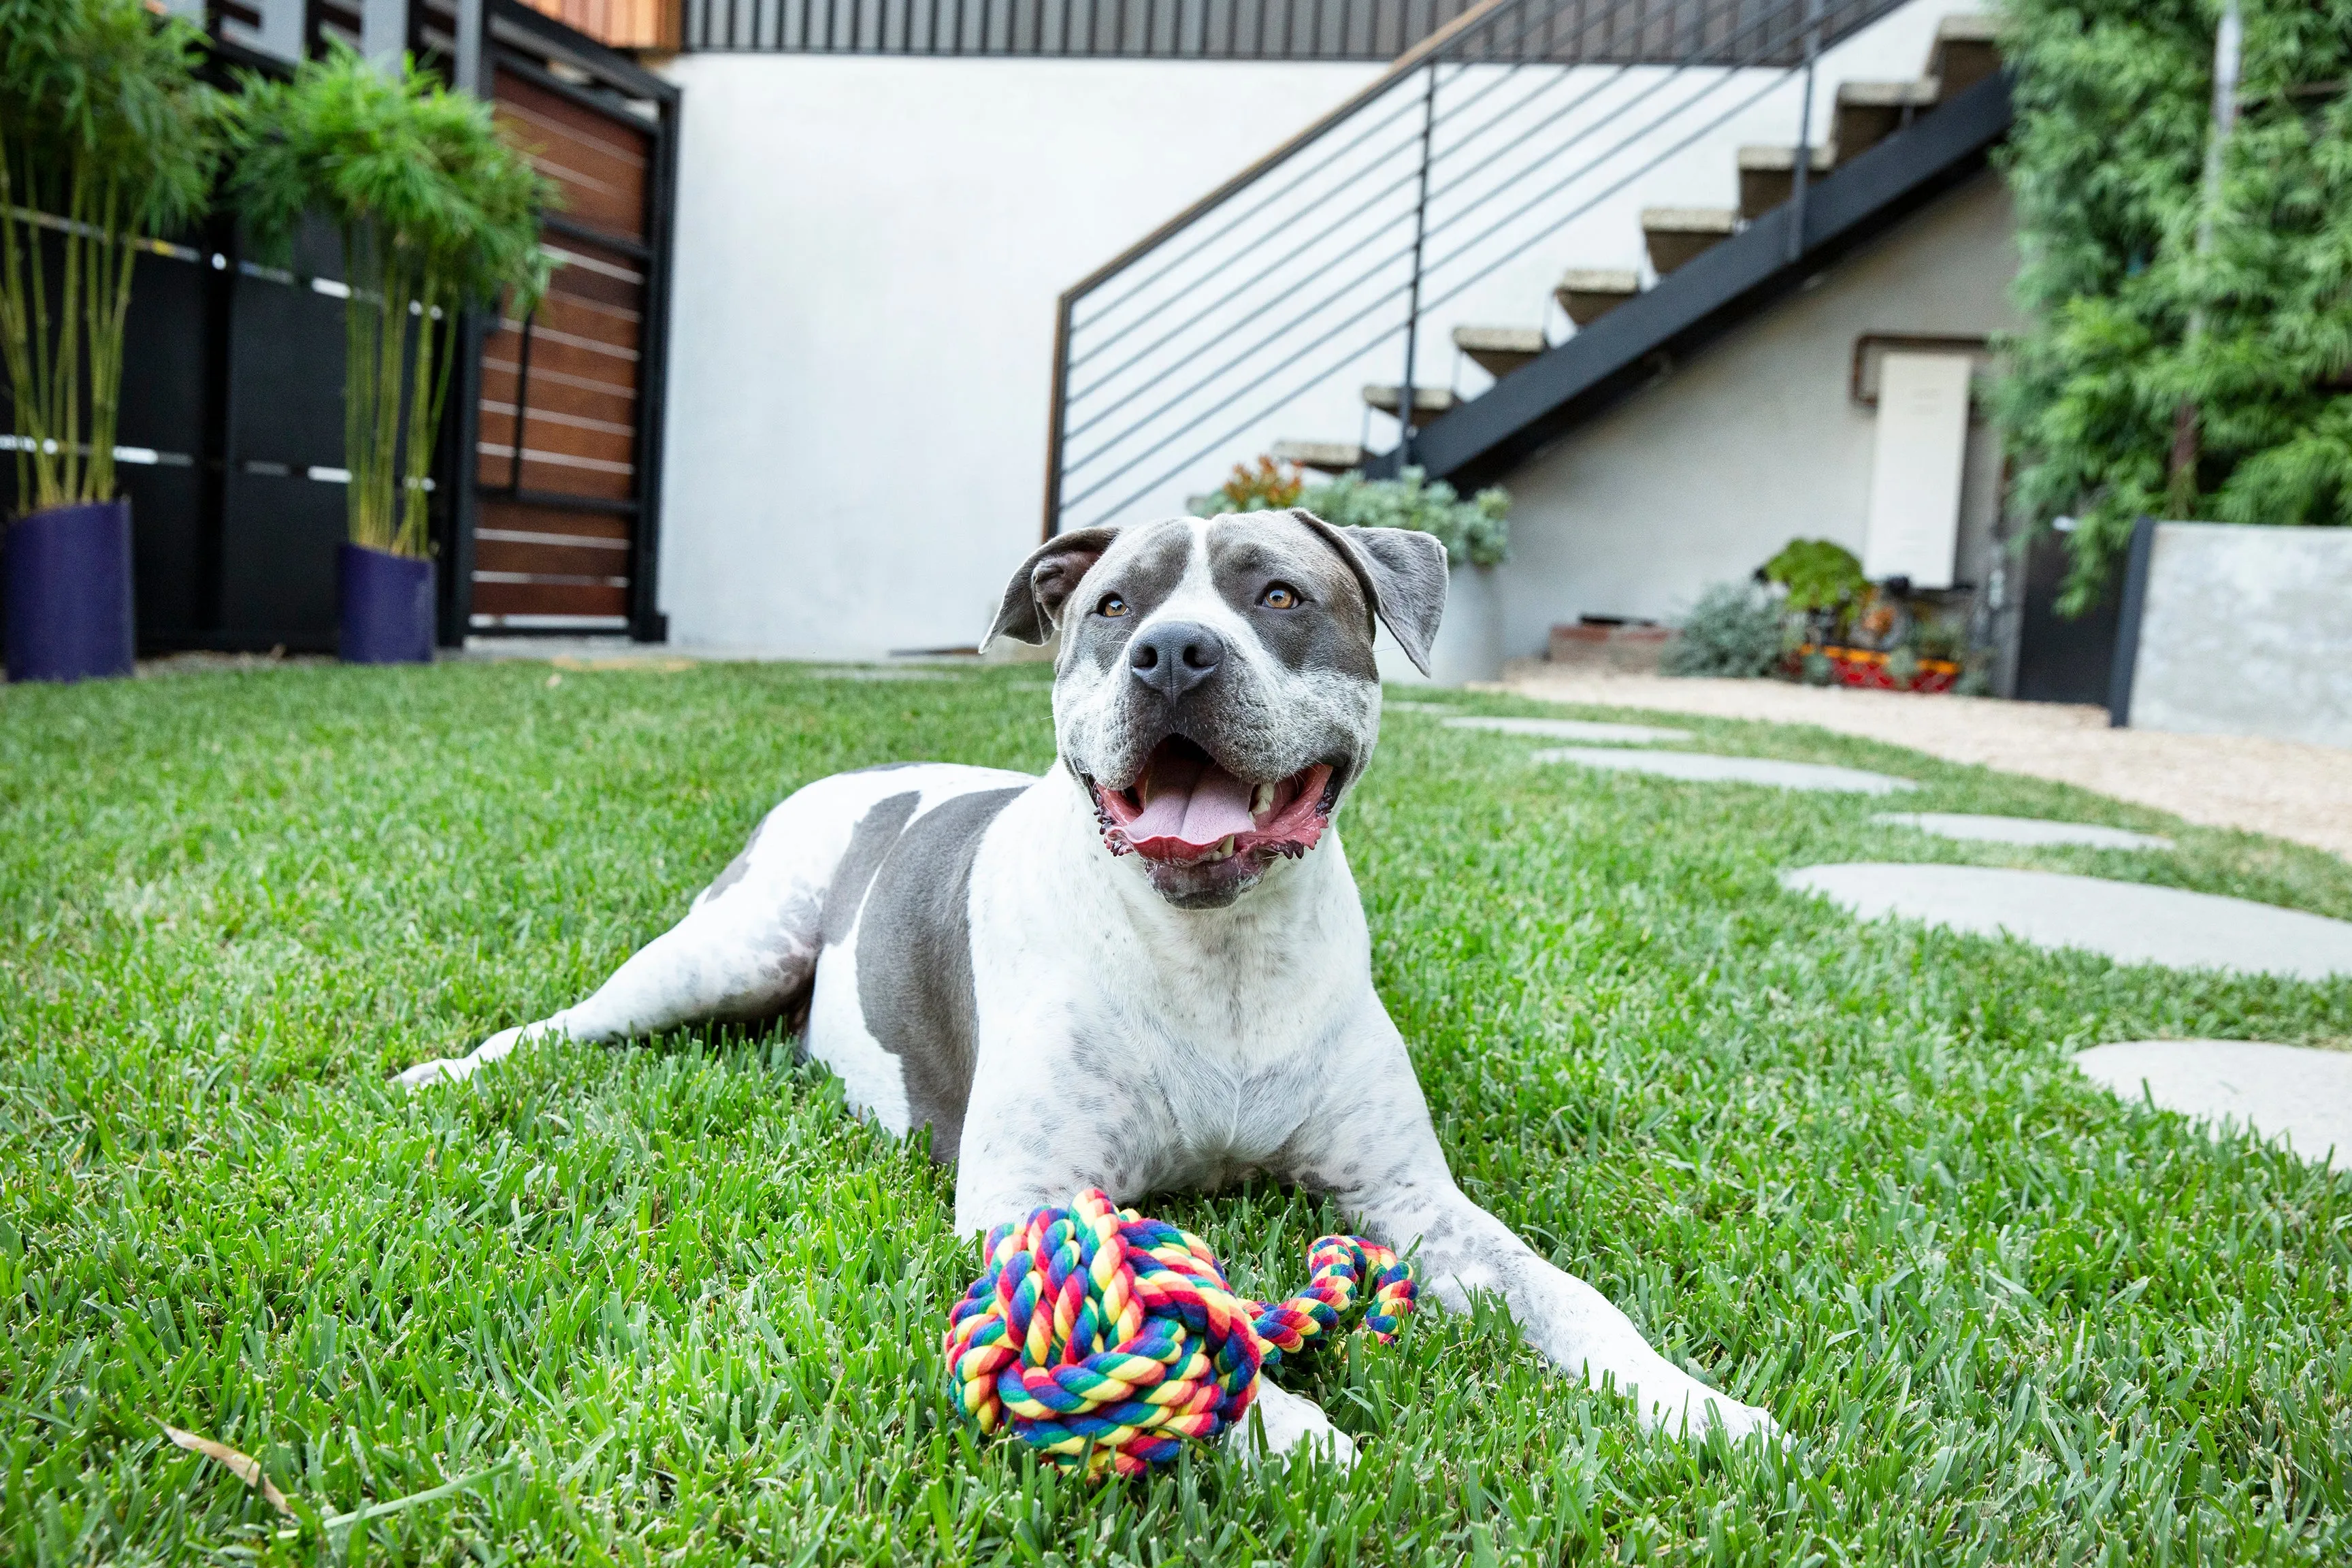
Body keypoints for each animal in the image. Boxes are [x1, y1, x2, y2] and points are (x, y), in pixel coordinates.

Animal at [399, 512, 1778, 1457]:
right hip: (727, 944)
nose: (1173, 652)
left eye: (1281, 593)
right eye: (1113, 605)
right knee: (565, 1026)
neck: (1218, 953)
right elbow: (1147, 1332)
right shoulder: (1026, 1197)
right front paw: (1288, 1432)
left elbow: (1570, 1298)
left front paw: (1693, 1403)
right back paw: (447, 1070)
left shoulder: (1411, 1198)